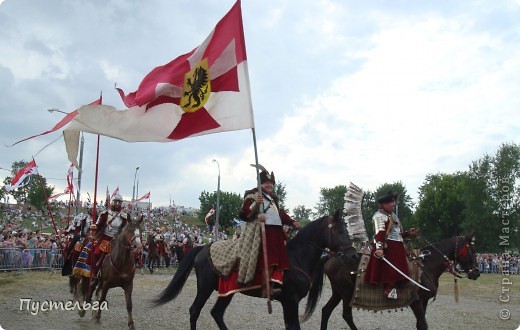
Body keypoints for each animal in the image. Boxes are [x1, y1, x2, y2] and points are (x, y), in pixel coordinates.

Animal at [304, 233, 480, 328]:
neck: (426, 266)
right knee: (346, 315)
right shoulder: (416, 302)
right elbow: (423, 324)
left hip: (338, 292)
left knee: (326, 311)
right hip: (346, 293)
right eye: (471, 249)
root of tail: (330, 257)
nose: (476, 273)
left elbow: (420, 324)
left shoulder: (423, 302)